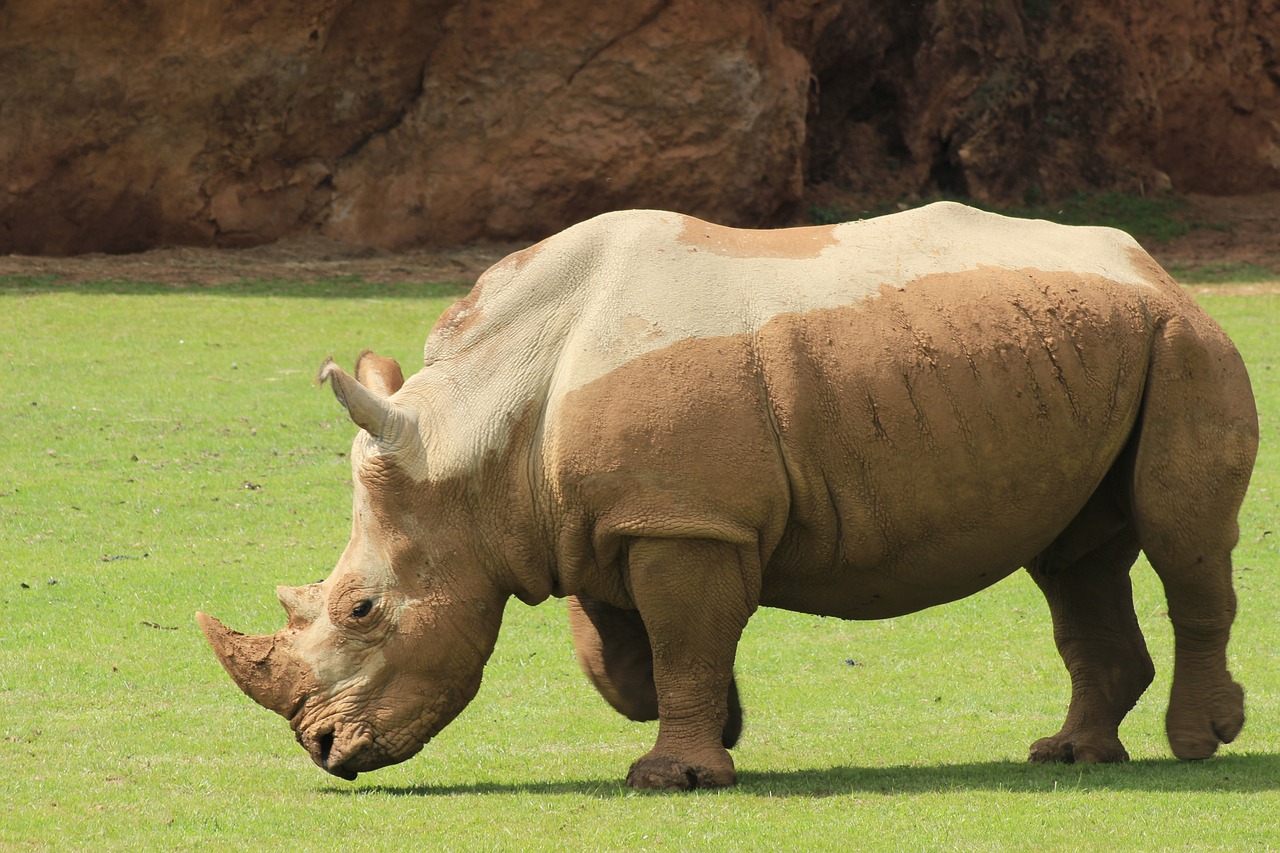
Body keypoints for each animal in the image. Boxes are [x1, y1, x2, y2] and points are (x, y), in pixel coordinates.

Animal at [194, 202, 1254, 788]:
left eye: (361, 610)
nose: (323, 748)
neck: (475, 439)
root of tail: (1157, 266)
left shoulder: (684, 522)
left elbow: (683, 638)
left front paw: (675, 777)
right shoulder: (606, 518)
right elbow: (626, 652)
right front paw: (720, 724)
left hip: (1183, 342)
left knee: (1179, 537)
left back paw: (1199, 742)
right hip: (1094, 346)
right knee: (1074, 559)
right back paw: (1069, 755)